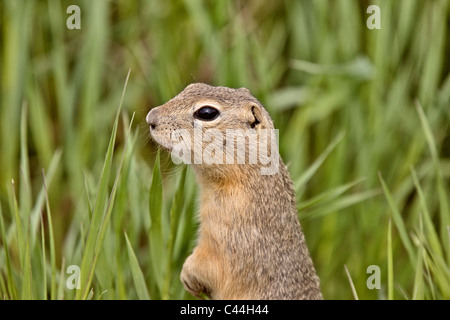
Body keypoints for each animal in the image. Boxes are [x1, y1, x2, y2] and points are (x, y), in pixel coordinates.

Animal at [146, 83, 322, 300]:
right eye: (192, 86)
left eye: (206, 113)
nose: (151, 117)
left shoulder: (226, 230)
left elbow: (209, 265)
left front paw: (187, 273)